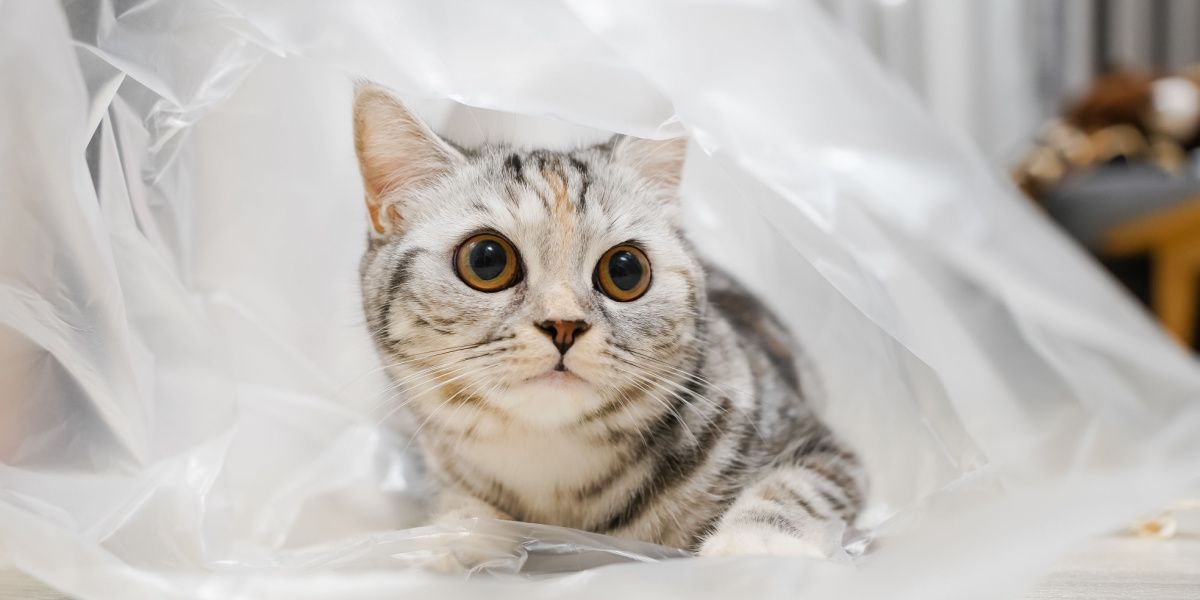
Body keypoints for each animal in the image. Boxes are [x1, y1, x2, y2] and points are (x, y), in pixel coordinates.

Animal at [350, 84, 868, 556]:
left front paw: (753, 551)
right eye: (486, 261)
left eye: (625, 271)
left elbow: (793, 491)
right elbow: (458, 507)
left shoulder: (824, 448)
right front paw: (453, 541)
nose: (564, 324)